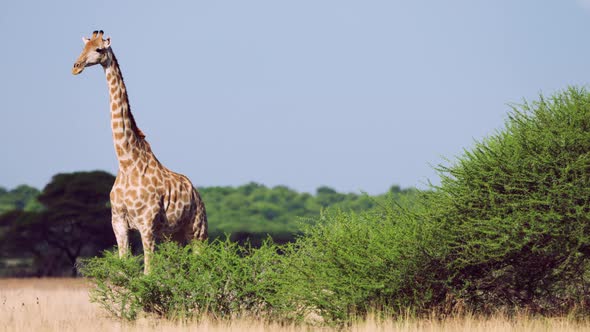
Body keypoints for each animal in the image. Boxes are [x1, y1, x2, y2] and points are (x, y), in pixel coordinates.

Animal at [72, 29, 208, 274]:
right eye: (82, 47)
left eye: (99, 49)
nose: (76, 67)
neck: (127, 162)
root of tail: (196, 192)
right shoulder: (118, 223)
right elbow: (121, 271)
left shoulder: (147, 224)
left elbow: (148, 272)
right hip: (173, 235)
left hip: (197, 231)